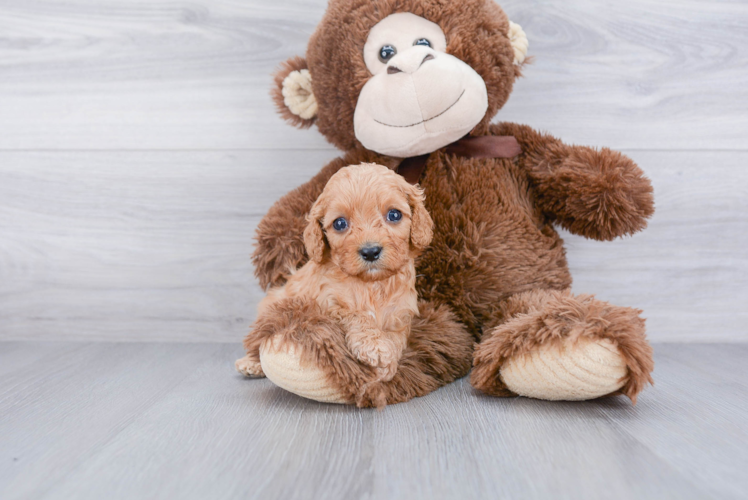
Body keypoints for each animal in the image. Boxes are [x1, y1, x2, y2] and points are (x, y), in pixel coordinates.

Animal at [237, 162, 436, 380]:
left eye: (394, 215)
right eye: (340, 223)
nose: (370, 252)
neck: (372, 284)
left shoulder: (400, 313)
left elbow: (396, 338)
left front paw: (387, 363)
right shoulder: (326, 304)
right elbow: (356, 315)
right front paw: (374, 345)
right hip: (273, 305)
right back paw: (250, 363)